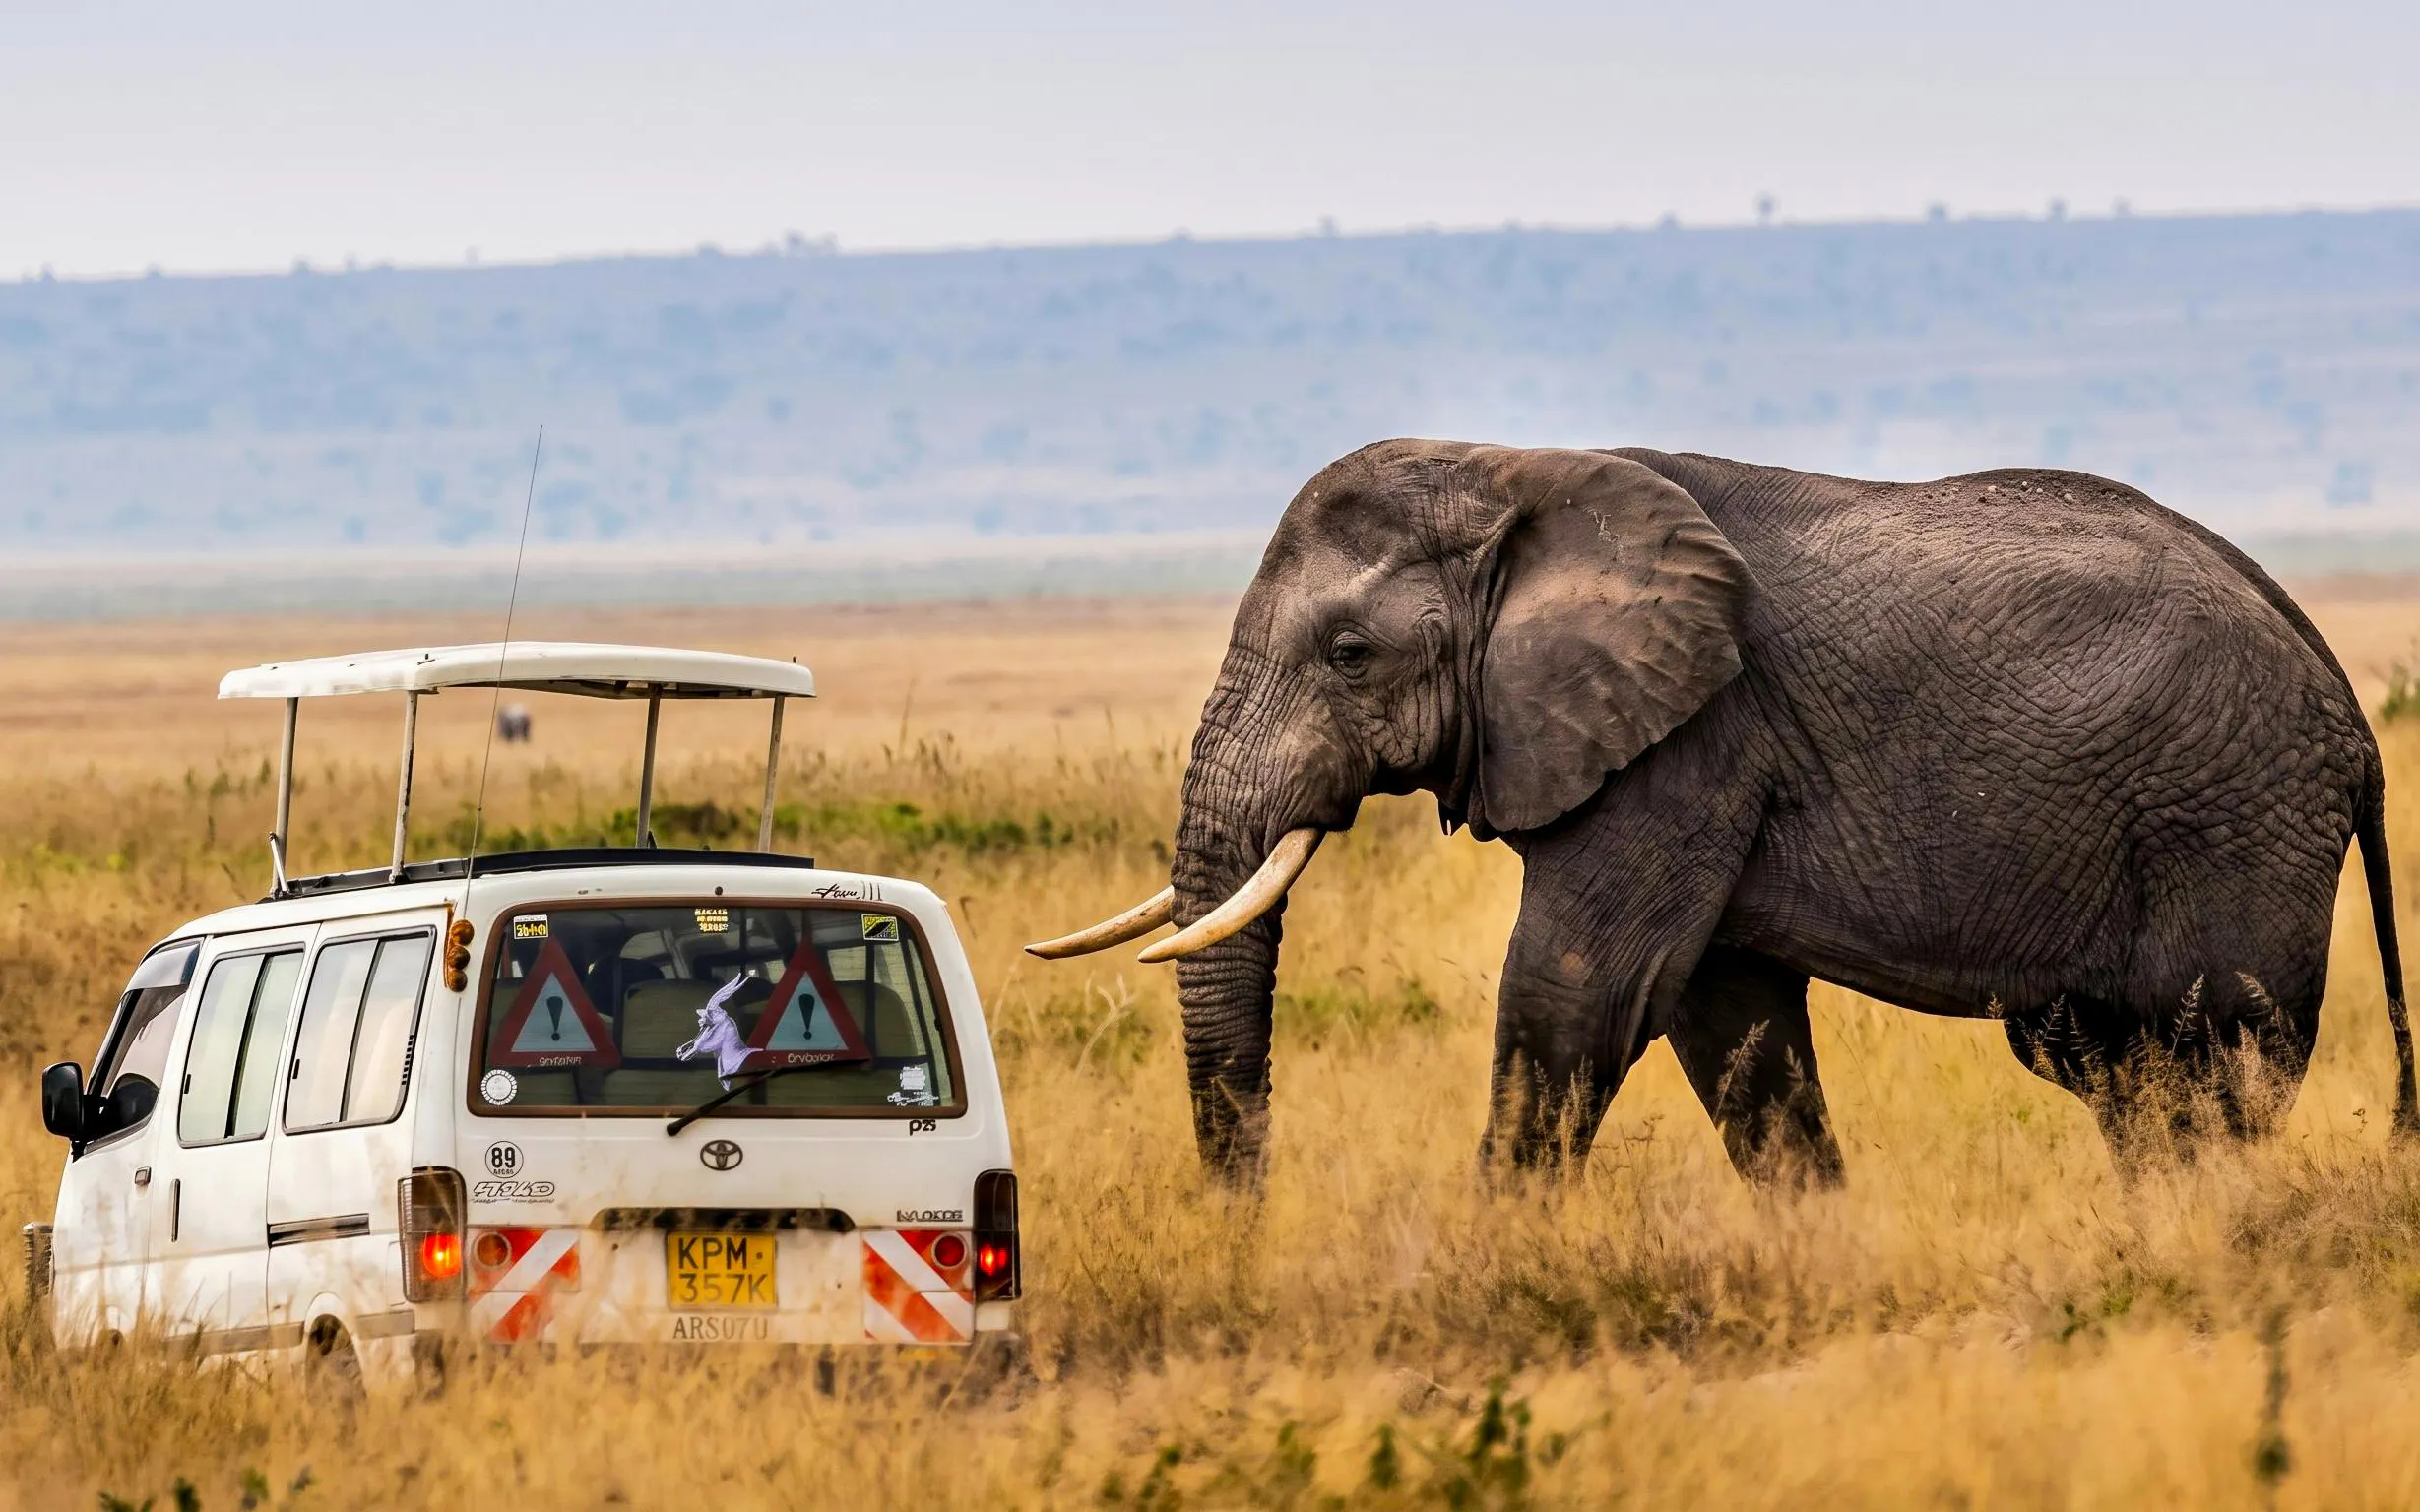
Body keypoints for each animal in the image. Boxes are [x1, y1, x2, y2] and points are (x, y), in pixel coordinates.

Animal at [1030, 440, 2417, 1185]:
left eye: (1350, 654)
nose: (1246, 1231)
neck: (1517, 471)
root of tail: (2340, 692)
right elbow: (1729, 1024)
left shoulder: (1690, 743)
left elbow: (1576, 994)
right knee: (2118, 1070)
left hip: (2232, 819)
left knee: (2214, 1065)